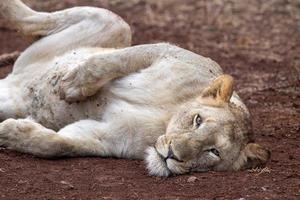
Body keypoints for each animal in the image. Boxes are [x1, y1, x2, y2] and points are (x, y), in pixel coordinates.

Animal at [0, 0, 270, 176]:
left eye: (213, 152)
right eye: (197, 120)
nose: (172, 154)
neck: (165, 119)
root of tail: (14, 86)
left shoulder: (106, 138)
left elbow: (59, 144)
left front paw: (12, 132)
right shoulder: (168, 52)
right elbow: (113, 61)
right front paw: (72, 85)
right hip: (114, 25)